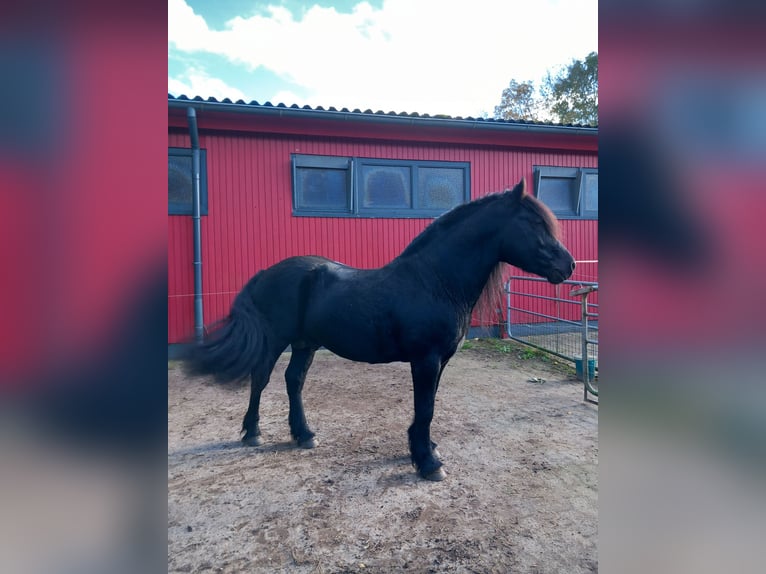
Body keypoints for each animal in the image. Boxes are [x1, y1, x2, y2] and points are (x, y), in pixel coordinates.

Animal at [184, 178, 575, 481]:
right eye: (534, 224)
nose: (568, 265)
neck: (435, 280)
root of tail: (266, 272)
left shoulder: (441, 361)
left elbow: (429, 405)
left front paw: (425, 448)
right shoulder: (426, 360)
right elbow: (425, 407)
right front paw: (428, 463)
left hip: (305, 343)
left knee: (293, 381)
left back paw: (304, 434)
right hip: (276, 340)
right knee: (260, 379)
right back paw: (253, 433)